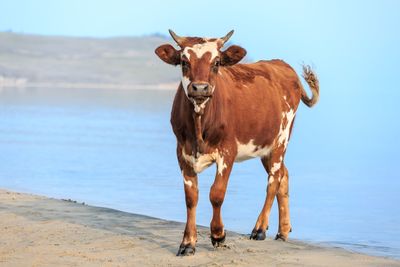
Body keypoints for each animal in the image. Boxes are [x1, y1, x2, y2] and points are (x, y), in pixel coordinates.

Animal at [155, 29, 320, 258]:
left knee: (273, 180)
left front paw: (218, 235)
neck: (199, 123)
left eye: (216, 62)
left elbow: (216, 194)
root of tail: (281, 64)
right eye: (184, 61)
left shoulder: (227, 151)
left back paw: (260, 228)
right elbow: (191, 198)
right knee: (283, 175)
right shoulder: (182, 152)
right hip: (265, 146)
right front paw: (188, 243)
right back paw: (283, 230)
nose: (200, 88)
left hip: (282, 138)